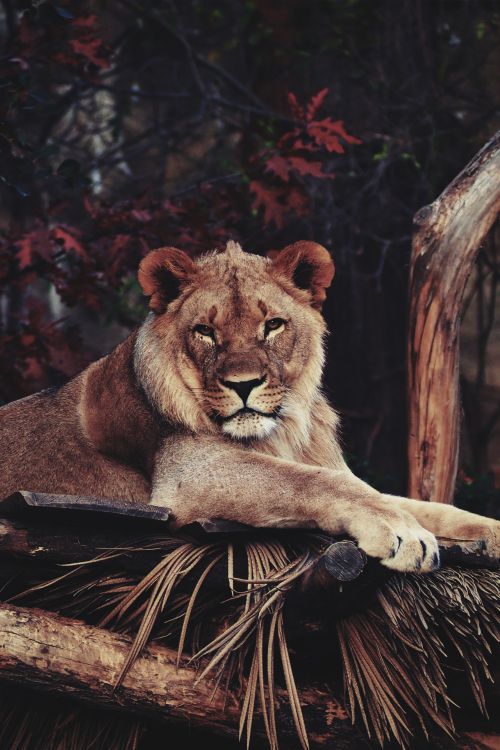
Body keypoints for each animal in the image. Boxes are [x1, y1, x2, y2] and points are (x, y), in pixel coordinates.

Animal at [1, 239, 499, 572]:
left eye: (273, 325)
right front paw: (403, 534)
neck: (283, 432)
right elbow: (312, 482)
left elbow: (424, 505)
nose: (244, 385)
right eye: (205, 331)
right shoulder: (188, 475)